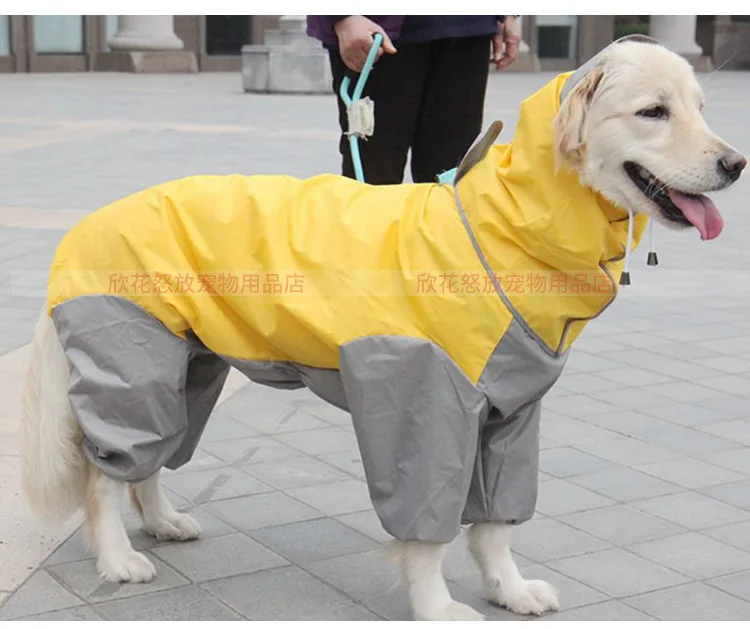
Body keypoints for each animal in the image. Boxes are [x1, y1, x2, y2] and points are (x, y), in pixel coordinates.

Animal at [17, 35, 748, 620]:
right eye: (653, 112)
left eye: (700, 109)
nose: (735, 164)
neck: (502, 232)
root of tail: (81, 229)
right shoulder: (425, 405)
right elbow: (427, 532)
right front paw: (438, 607)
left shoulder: (510, 415)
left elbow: (495, 524)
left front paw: (509, 589)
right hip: (133, 364)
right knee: (103, 474)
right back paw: (117, 559)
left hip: (187, 369)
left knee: (150, 459)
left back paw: (164, 522)